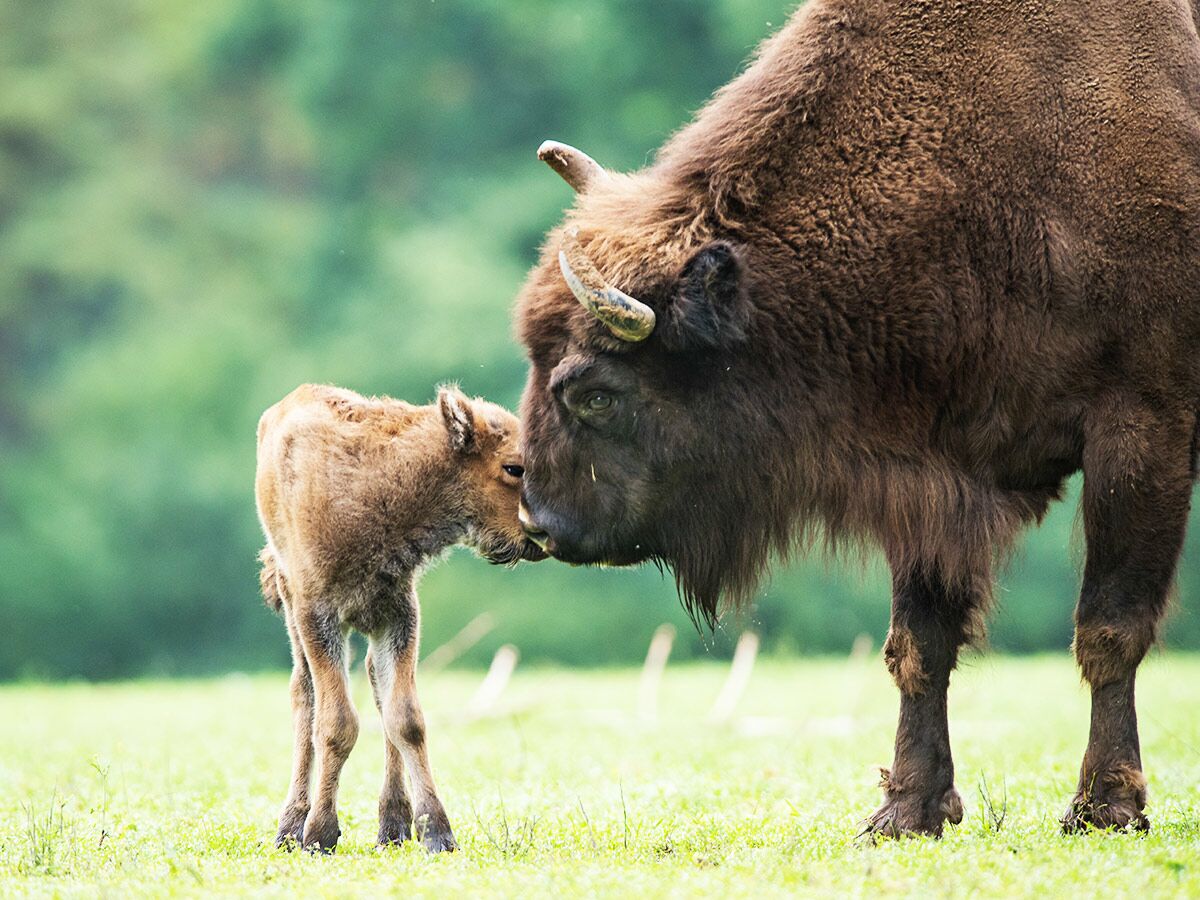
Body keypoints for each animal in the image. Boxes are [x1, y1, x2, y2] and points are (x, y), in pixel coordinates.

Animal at [514, 0, 1200, 836]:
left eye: (595, 392)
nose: (540, 521)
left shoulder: (1143, 431)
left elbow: (1109, 626)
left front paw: (1105, 806)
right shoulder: (935, 474)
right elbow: (919, 644)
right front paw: (907, 809)